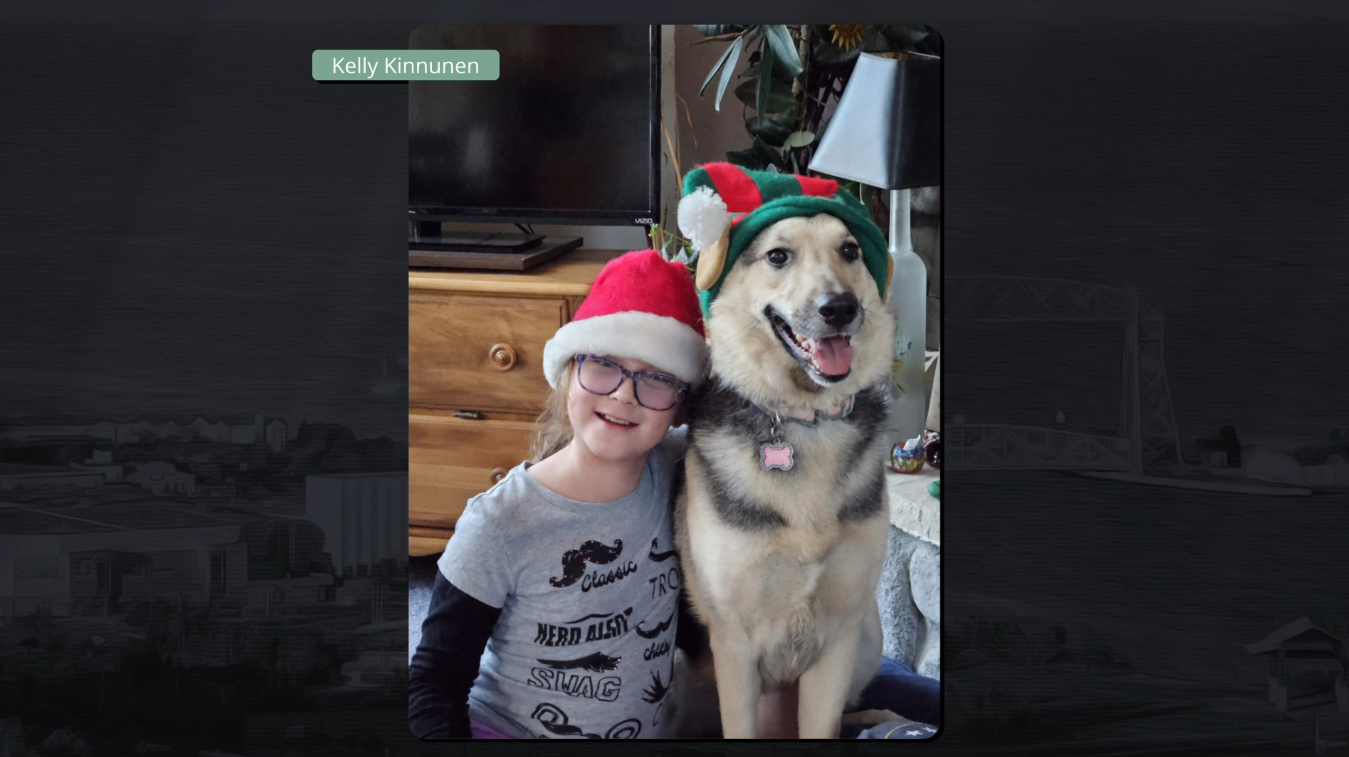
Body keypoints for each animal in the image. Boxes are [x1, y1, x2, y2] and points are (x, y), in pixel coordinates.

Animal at [674, 209, 895, 734]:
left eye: (850, 250)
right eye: (778, 255)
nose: (840, 308)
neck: (804, 419)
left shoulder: (838, 638)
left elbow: (825, 724)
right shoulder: (733, 645)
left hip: (870, 631)